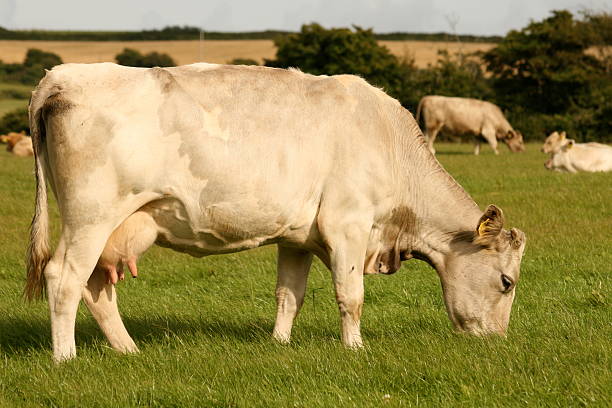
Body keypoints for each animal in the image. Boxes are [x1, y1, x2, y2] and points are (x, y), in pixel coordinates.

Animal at [26, 62, 524, 362]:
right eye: (507, 281)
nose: (499, 342)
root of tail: (62, 76)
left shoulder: (298, 237)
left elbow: (290, 295)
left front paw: (279, 343)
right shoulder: (348, 224)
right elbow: (351, 295)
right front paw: (355, 349)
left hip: (115, 226)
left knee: (96, 288)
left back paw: (128, 350)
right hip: (90, 218)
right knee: (64, 279)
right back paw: (65, 357)